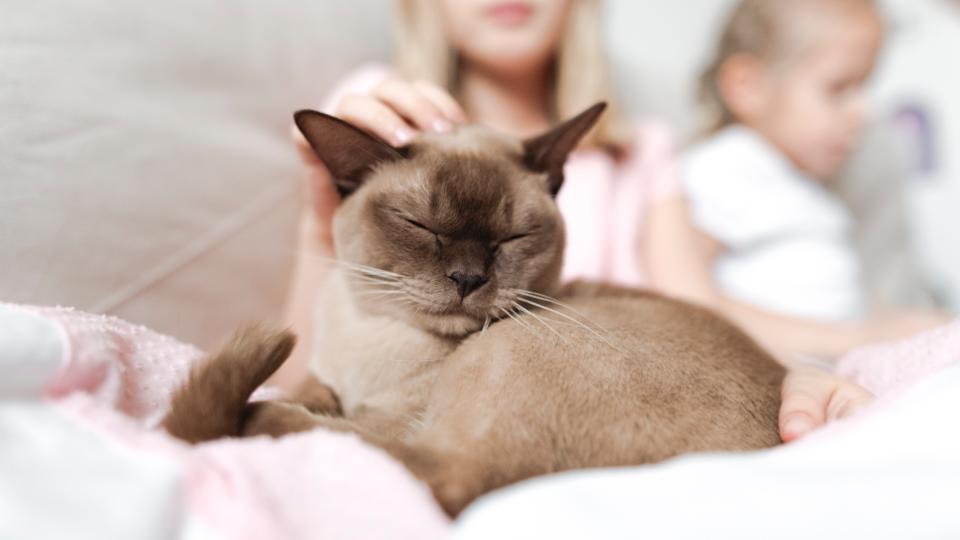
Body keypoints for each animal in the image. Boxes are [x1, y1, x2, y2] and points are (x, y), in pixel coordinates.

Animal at [161, 104, 784, 516]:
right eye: (421, 226)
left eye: (513, 238)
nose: (467, 279)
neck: (373, 336)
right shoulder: (326, 378)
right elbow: (316, 391)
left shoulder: (395, 415)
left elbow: (352, 426)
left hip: (510, 351)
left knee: (436, 474)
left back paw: (259, 419)